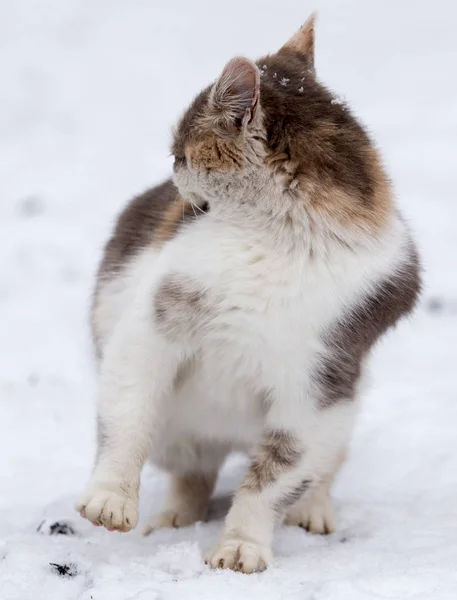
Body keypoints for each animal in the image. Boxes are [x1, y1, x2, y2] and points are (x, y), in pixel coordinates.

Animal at [76, 16, 418, 576]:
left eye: (181, 152)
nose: (172, 172)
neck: (276, 241)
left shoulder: (320, 388)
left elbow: (274, 477)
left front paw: (241, 546)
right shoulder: (148, 328)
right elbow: (128, 415)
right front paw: (111, 499)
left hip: (345, 410)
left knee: (319, 468)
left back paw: (313, 509)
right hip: (178, 427)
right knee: (191, 469)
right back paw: (173, 518)